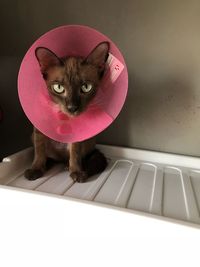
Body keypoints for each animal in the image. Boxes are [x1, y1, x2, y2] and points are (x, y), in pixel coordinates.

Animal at [24, 42, 111, 183]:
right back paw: (48, 164)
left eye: (86, 87)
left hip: (88, 140)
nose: (72, 107)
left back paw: (68, 166)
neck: (62, 118)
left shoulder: (76, 136)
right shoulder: (39, 131)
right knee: (50, 156)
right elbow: (39, 151)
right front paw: (36, 169)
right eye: (59, 88)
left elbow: (75, 154)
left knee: (77, 158)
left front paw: (76, 172)